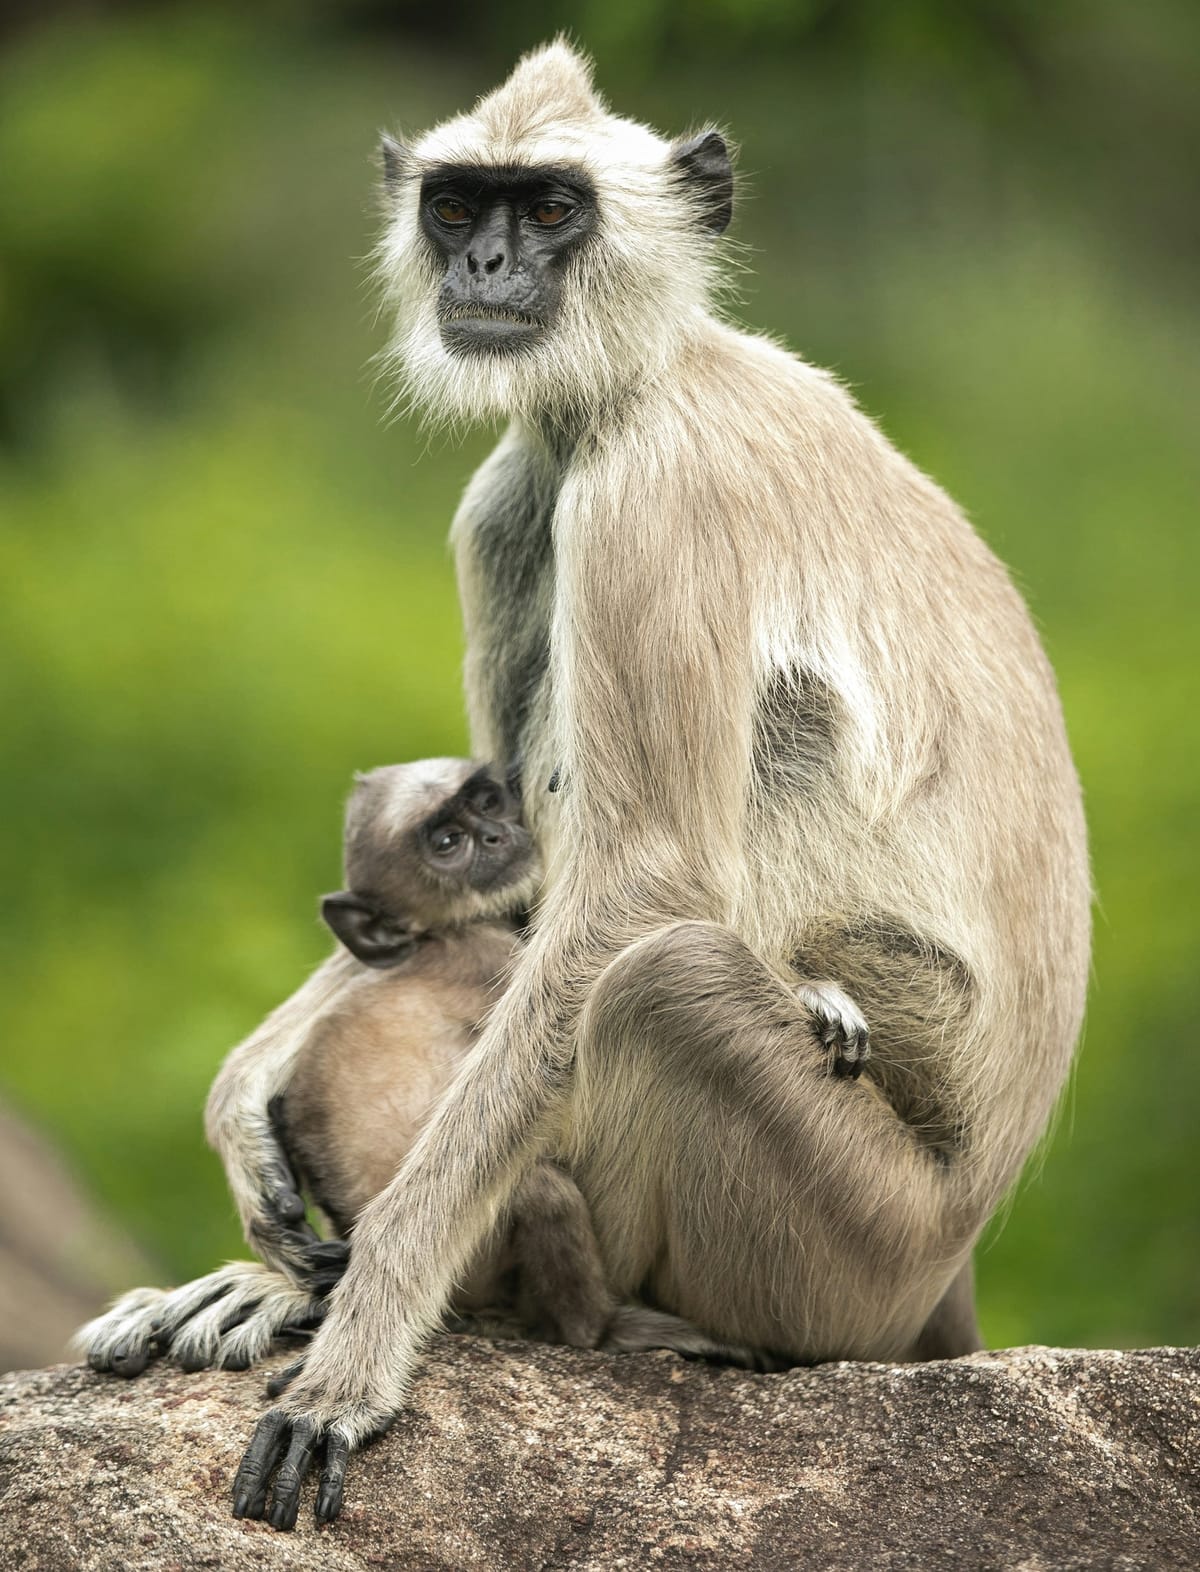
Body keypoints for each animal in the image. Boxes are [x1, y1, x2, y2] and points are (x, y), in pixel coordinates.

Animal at [223, 43, 1088, 1527]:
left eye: (550, 209)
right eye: (458, 206)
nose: (488, 263)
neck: (640, 381)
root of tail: (959, 1241)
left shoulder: (651, 493)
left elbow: (640, 890)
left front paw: (360, 1349)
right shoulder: (513, 494)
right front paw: (252, 1108)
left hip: (855, 1246)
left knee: (667, 979)